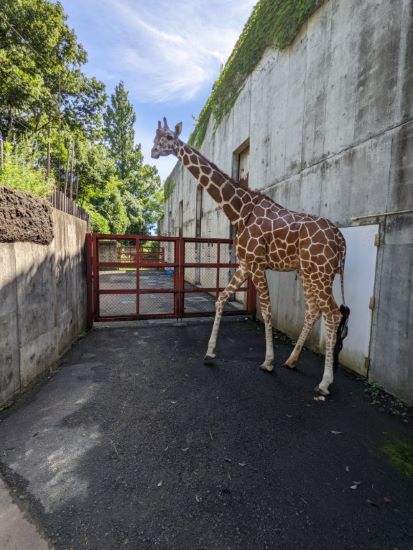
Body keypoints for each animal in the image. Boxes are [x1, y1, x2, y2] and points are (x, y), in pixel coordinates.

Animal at [151, 121, 348, 396]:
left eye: (169, 137)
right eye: (155, 137)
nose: (153, 151)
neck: (240, 210)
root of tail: (341, 241)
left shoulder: (256, 264)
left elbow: (266, 310)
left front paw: (268, 362)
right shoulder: (245, 264)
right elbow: (221, 299)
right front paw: (210, 353)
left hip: (321, 272)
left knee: (333, 313)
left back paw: (324, 383)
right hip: (310, 272)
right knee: (314, 310)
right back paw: (292, 361)